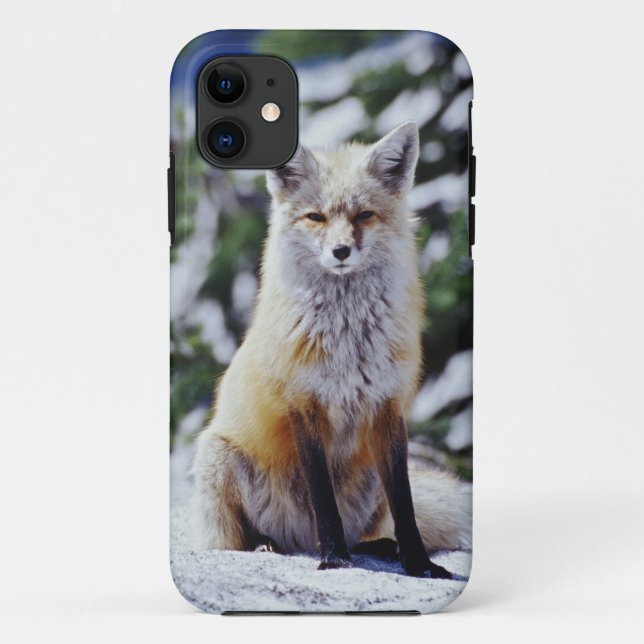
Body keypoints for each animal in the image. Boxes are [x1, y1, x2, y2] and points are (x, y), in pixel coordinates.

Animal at [191, 121, 471, 577]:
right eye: (316, 217)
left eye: (363, 216)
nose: (341, 251)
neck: (348, 341)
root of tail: (300, 541)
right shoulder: (304, 405)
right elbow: (323, 499)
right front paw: (336, 559)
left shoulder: (388, 406)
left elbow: (406, 504)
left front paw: (418, 563)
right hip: (218, 456)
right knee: (240, 538)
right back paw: (268, 544)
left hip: (370, 479)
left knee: (372, 528)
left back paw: (381, 547)